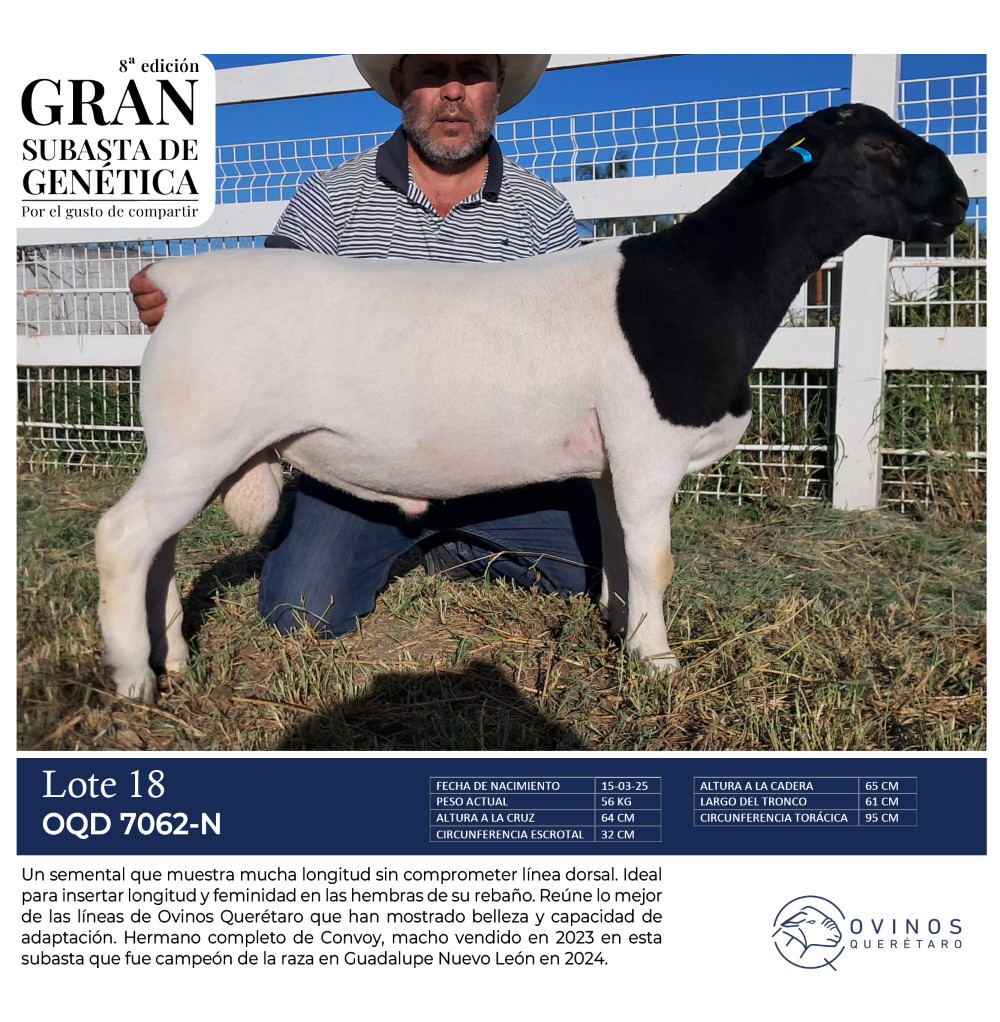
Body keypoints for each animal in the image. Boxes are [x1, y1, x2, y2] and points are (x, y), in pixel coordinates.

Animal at [95, 103, 969, 703]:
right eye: (879, 145)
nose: (961, 201)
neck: (706, 281)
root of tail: (180, 280)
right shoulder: (649, 447)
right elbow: (656, 557)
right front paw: (658, 664)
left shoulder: (614, 461)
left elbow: (617, 551)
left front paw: (621, 630)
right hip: (199, 439)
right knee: (124, 537)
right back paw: (135, 681)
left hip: (206, 449)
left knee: (160, 548)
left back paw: (174, 657)